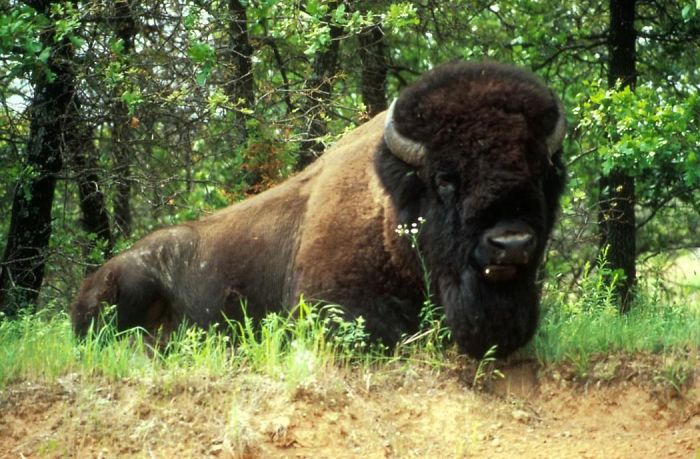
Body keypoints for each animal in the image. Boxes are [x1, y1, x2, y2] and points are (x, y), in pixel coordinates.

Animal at [71, 61, 566, 358]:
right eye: (445, 179)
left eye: (539, 171)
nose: (511, 243)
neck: (389, 211)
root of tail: (92, 281)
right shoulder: (331, 305)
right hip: (132, 285)